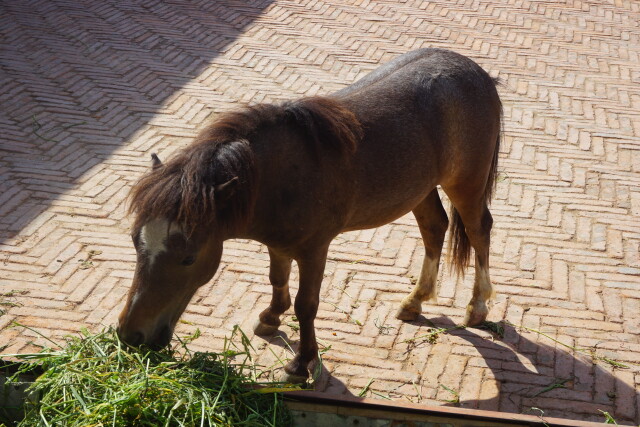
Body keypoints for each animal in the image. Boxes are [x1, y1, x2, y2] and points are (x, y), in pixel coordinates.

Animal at [117, 48, 502, 382]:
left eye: (188, 258)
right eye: (135, 243)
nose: (130, 334)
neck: (279, 177)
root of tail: (477, 73)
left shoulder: (315, 249)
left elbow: (307, 305)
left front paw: (302, 363)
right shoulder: (279, 244)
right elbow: (276, 279)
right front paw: (271, 316)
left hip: (465, 184)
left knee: (478, 230)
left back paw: (477, 307)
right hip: (420, 189)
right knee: (435, 228)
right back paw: (415, 301)